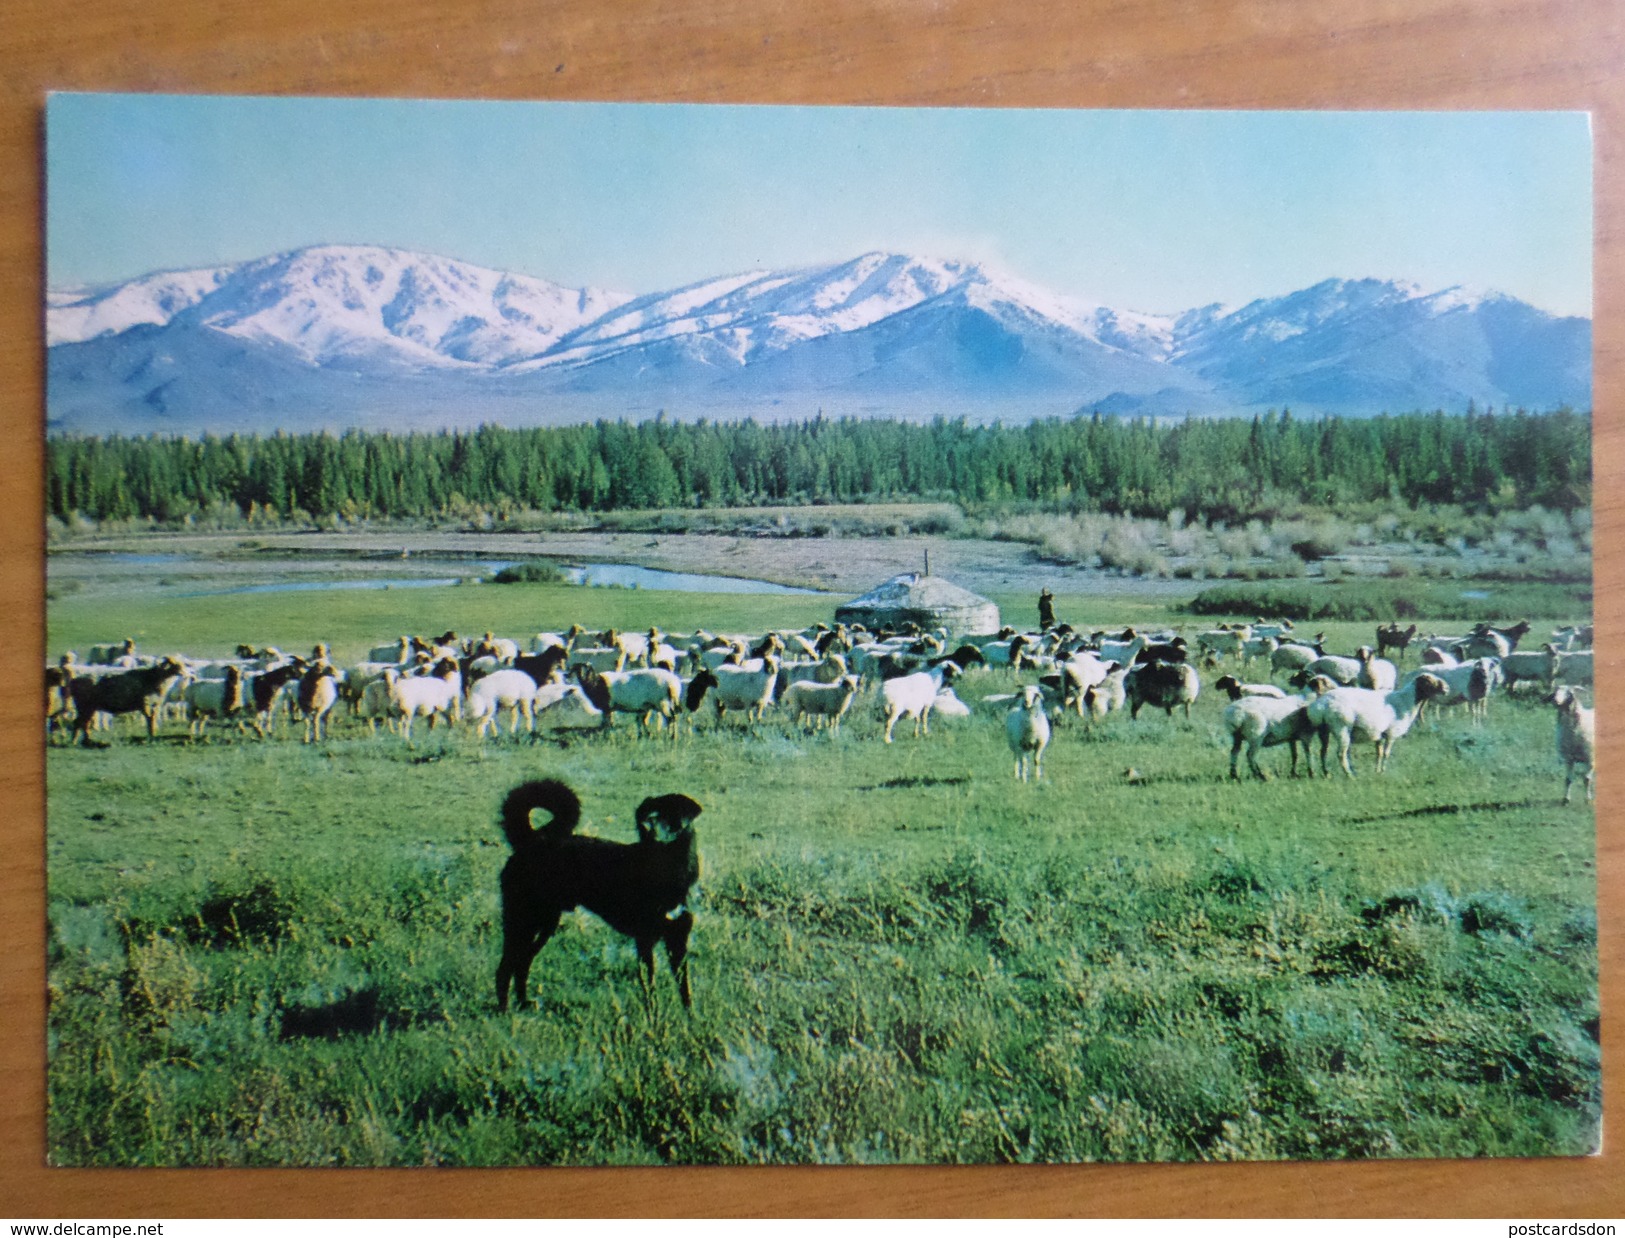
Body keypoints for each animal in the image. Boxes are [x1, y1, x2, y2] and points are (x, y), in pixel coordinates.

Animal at [490, 776, 702, 1007]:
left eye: (668, 814)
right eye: (646, 817)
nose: (649, 828)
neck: (668, 870)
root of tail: (531, 841)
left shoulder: (678, 941)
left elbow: (686, 991)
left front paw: (689, 1016)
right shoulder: (645, 941)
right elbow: (651, 994)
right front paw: (655, 1016)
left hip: (546, 923)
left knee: (522, 962)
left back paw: (523, 1004)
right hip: (523, 922)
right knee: (505, 968)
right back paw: (504, 1010)